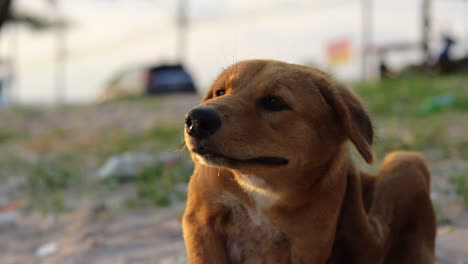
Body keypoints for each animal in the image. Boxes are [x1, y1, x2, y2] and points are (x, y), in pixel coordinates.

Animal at [182, 59, 436, 264]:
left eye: (274, 101)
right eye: (220, 92)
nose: (196, 120)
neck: (261, 189)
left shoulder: (308, 243)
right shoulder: (201, 222)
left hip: (405, 161)